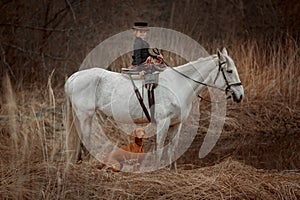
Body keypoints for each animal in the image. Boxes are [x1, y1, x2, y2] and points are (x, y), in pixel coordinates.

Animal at [64, 47, 243, 171]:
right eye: (229, 71)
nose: (240, 95)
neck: (179, 84)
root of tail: (74, 77)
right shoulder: (163, 123)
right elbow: (160, 148)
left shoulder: (176, 124)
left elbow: (172, 149)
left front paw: (172, 171)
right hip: (85, 115)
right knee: (85, 140)